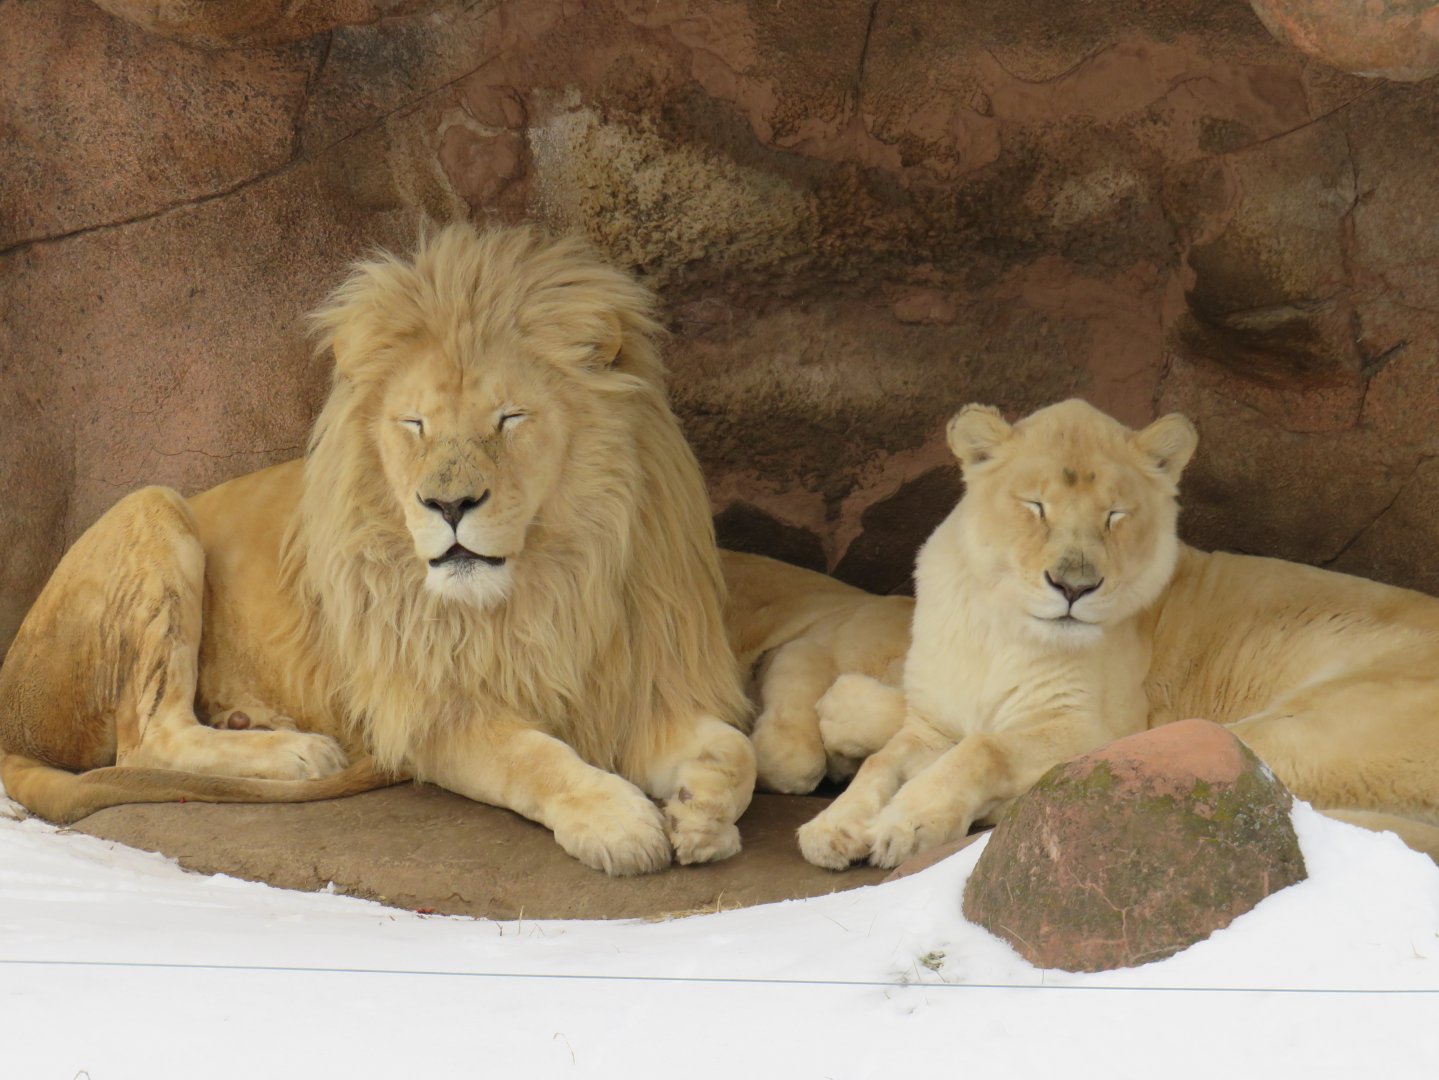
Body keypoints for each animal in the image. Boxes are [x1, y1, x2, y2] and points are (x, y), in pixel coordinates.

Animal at [0, 224, 756, 877]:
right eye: (414, 423)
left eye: (509, 419)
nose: (448, 506)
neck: (545, 585)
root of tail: (9, 705)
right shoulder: (429, 712)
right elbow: (533, 757)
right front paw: (616, 821)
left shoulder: (638, 687)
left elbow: (734, 747)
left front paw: (701, 821)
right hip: (153, 505)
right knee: (148, 735)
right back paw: (299, 752)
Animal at [800, 398, 1439, 869]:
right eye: (1036, 506)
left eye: (1115, 515)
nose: (1073, 586)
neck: (999, 629)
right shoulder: (933, 720)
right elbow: (885, 760)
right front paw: (832, 827)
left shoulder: (1092, 727)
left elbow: (983, 747)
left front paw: (904, 824)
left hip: (1285, 728)